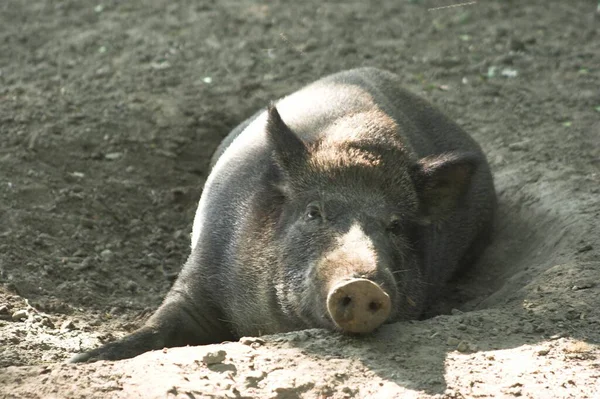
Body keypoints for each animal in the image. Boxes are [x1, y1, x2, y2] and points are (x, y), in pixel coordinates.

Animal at [69, 68, 496, 362]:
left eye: (395, 226)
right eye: (313, 212)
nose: (362, 285)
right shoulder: (201, 267)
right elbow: (161, 322)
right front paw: (85, 359)